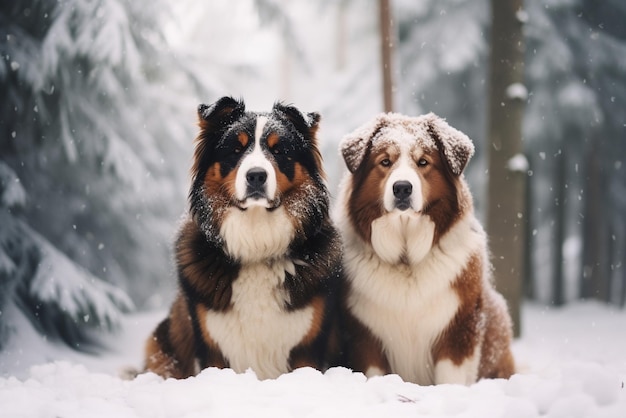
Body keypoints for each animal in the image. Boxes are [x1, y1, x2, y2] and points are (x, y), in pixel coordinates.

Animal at [143, 97, 342, 378]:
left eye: (279, 150)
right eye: (236, 150)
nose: (256, 175)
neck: (256, 245)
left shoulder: (308, 347)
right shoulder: (211, 347)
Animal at [334, 112, 516, 386]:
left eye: (423, 162)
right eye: (385, 161)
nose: (402, 188)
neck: (407, 259)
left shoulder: (458, 330)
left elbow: (451, 379)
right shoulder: (366, 338)